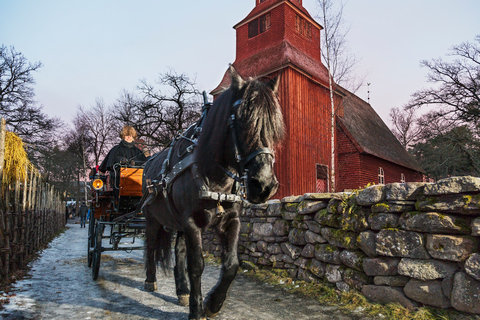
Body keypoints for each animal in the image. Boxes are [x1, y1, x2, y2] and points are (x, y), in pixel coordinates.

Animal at [142, 66, 284, 318]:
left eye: (274, 127)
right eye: (242, 122)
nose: (264, 185)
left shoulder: (231, 220)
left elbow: (231, 265)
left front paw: (212, 304)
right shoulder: (191, 222)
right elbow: (196, 265)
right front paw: (197, 310)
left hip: (177, 222)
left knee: (179, 251)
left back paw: (182, 290)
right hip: (152, 218)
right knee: (150, 245)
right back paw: (150, 280)